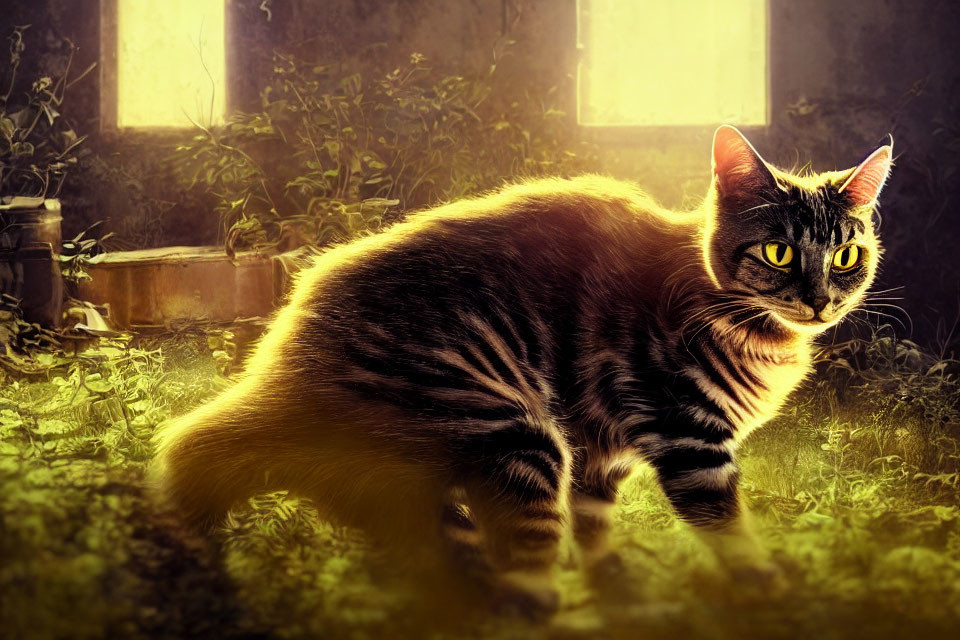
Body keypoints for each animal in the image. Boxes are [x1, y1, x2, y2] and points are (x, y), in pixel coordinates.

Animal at [152, 126, 892, 616]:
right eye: (778, 252)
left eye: (846, 256)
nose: (820, 299)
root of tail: (287, 368)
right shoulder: (691, 444)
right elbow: (733, 533)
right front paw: (774, 594)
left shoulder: (600, 453)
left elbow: (596, 530)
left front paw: (620, 590)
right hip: (517, 436)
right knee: (515, 587)